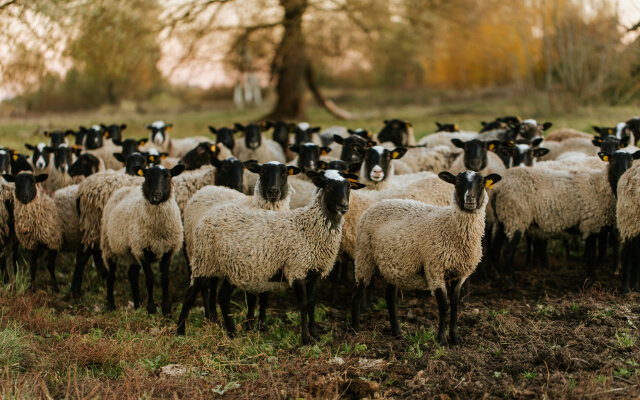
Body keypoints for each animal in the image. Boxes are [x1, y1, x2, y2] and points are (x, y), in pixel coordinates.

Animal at [100, 164, 185, 314]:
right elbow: (149, 279)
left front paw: (166, 309)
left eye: (168, 176)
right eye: (147, 175)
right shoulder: (142, 250)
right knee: (111, 276)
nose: (156, 196)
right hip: (109, 247)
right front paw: (151, 309)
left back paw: (137, 305)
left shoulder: (168, 250)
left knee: (132, 275)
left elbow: (165, 280)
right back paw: (111, 306)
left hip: (132, 251)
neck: (158, 231)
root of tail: (124, 188)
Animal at [178, 161, 300, 332]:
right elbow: (252, 296)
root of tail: (208, 187)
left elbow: (264, 295)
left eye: (284, 173)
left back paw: (214, 316)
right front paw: (249, 324)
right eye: (262, 172)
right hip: (196, 252)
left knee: (212, 283)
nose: (273, 191)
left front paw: (262, 325)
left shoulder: (269, 263)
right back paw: (208, 316)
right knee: (203, 286)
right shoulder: (252, 262)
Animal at [188, 170, 362, 344]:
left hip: (232, 268)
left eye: (349, 187)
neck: (309, 226)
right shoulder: (296, 269)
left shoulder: (314, 272)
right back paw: (186, 329)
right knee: (196, 290)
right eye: (327, 186)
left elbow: (312, 303)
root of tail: (208, 215)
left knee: (223, 296)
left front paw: (315, 334)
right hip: (206, 259)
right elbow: (304, 304)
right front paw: (305, 338)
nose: (344, 206)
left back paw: (232, 333)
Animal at [352, 170, 502, 346]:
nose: (469, 199)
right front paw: (442, 340)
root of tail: (376, 204)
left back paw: (397, 332)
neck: (450, 225)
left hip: (393, 263)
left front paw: (456, 338)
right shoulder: (435, 269)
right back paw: (355, 330)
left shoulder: (460, 274)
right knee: (358, 293)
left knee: (389, 296)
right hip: (364, 255)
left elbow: (455, 303)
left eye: (482, 182)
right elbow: (443, 305)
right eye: (458, 181)